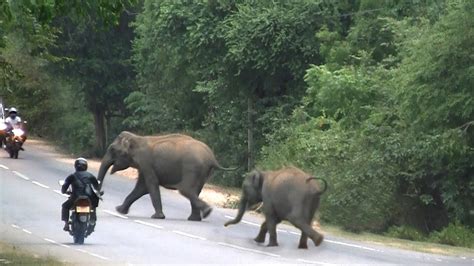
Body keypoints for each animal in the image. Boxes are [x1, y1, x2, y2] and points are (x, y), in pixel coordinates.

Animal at [96, 130, 237, 220]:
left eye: (113, 150)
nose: (101, 192)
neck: (137, 138)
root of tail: (212, 158)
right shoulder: (144, 166)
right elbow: (141, 188)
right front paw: (119, 210)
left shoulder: (146, 163)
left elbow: (150, 185)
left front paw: (157, 217)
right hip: (202, 172)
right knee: (194, 191)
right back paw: (195, 218)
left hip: (192, 168)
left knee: (185, 189)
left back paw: (206, 212)